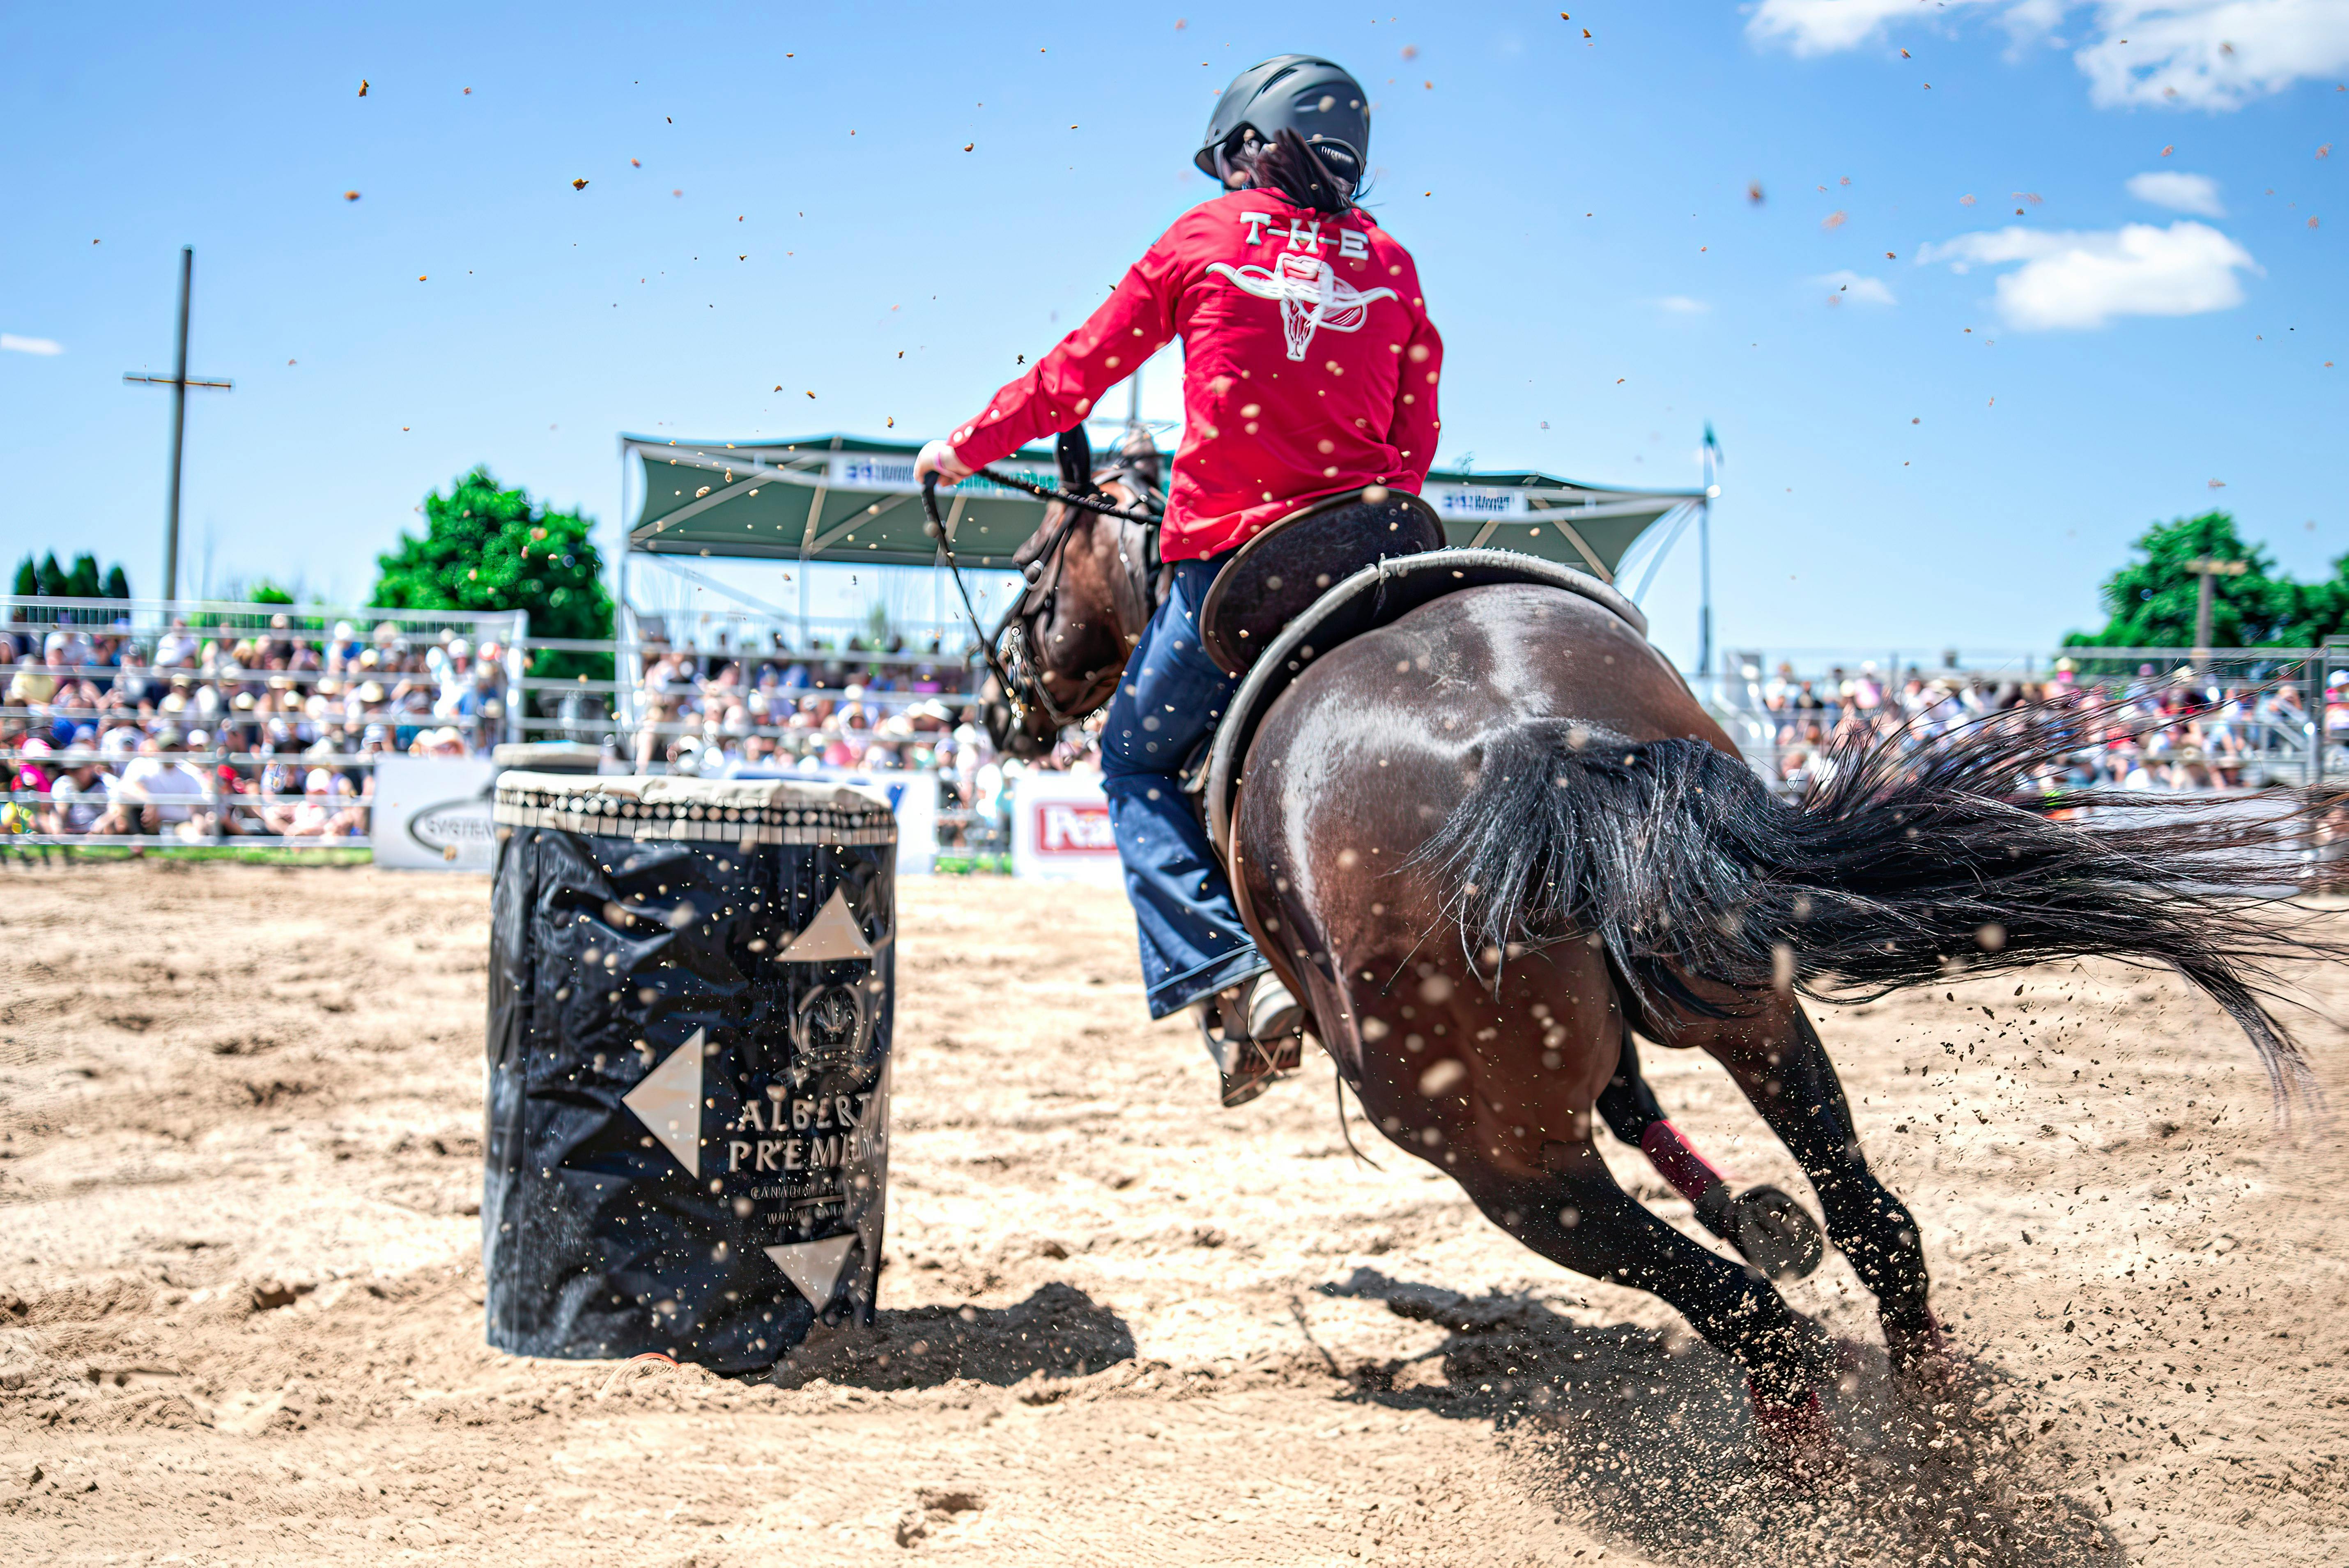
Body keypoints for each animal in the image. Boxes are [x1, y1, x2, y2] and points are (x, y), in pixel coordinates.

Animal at [968, 435, 2311, 1457]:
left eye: (1034, 564)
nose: (992, 705)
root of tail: (1534, 740)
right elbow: (1648, 1107)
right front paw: (1749, 1205)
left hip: (1499, 1160)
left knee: (1748, 1319)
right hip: (1752, 1010)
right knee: (1875, 1225)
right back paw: (1940, 1441)